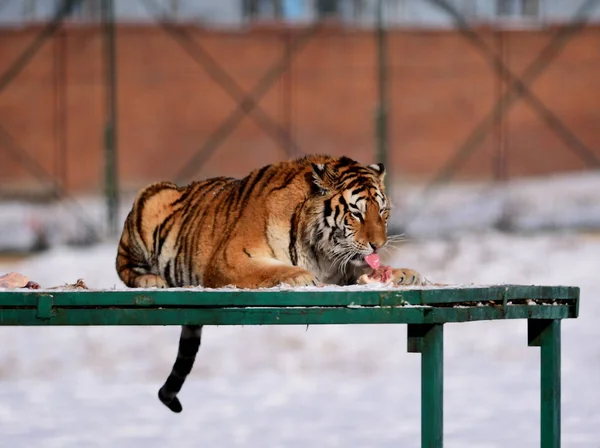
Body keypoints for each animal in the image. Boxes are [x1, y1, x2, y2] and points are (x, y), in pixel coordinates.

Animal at [116, 154, 422, 412]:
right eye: (356, 213)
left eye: (382, 212)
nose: (378, 244)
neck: (321, 251)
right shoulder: (230, 260)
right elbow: (273, 271)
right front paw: (299, 275)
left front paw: (405, 273)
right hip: (151, 200)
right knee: (124, 267)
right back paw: (151, 279)